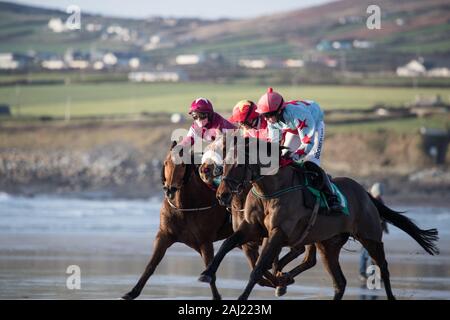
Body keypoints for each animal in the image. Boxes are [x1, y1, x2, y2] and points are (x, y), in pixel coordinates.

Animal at [119, 141, 234, 298]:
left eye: (183, 165)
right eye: (166, 162)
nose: (169, 189)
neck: (184, 208)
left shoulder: (205, 242)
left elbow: (210, 270)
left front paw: (216, 296)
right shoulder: (165, 235)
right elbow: (151, 265)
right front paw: (132, 292)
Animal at [199, 137, 438, 300]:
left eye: (240, 164)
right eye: (224, 164)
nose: (222, 195)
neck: (271, 189)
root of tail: (365, 193)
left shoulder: (278, 233)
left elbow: (258, 268)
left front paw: (245, 295)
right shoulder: (252, 228)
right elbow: (227, 244)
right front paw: (207, 273)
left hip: (370, 237)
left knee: (384, 268)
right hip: (328, 245)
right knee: (339, 282)